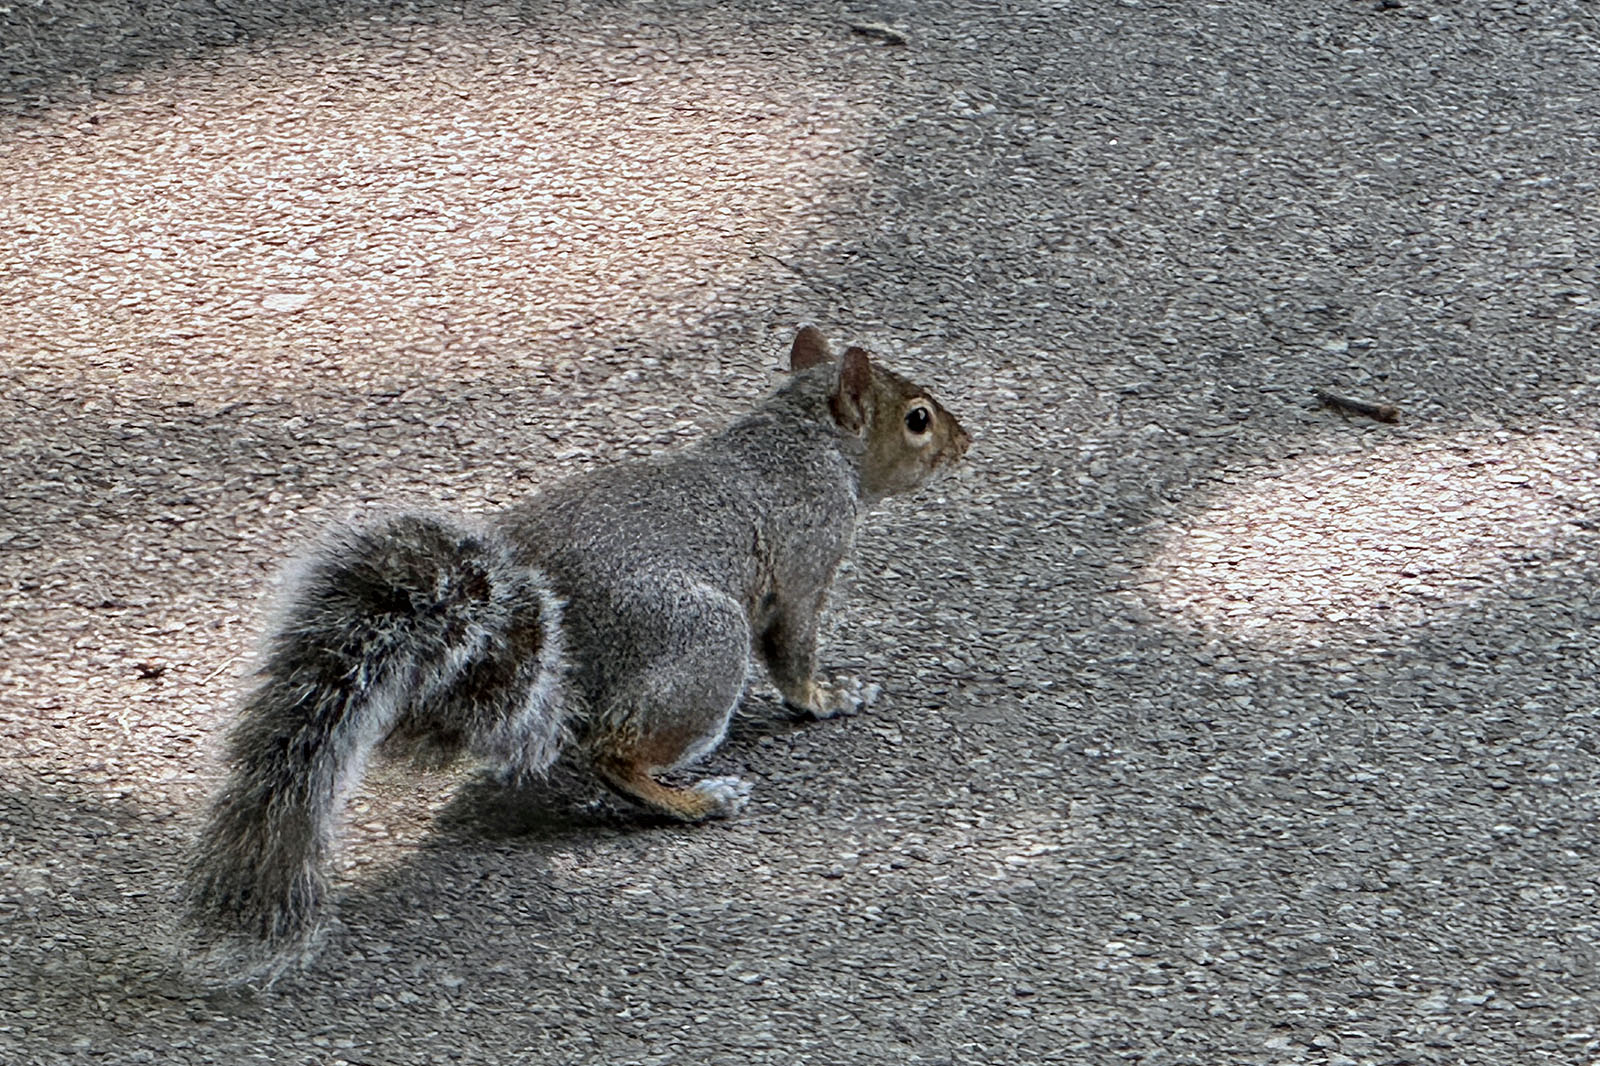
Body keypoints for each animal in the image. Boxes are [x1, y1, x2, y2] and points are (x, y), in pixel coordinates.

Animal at [181, 323, 966, 979]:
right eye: (917, 418)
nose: (965, 441)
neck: (805, 437)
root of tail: (536, 640)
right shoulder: (807, 563)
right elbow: (795, 656)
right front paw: (832, 697)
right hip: (706, 642)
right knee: (613, 752)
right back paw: (695, 800)